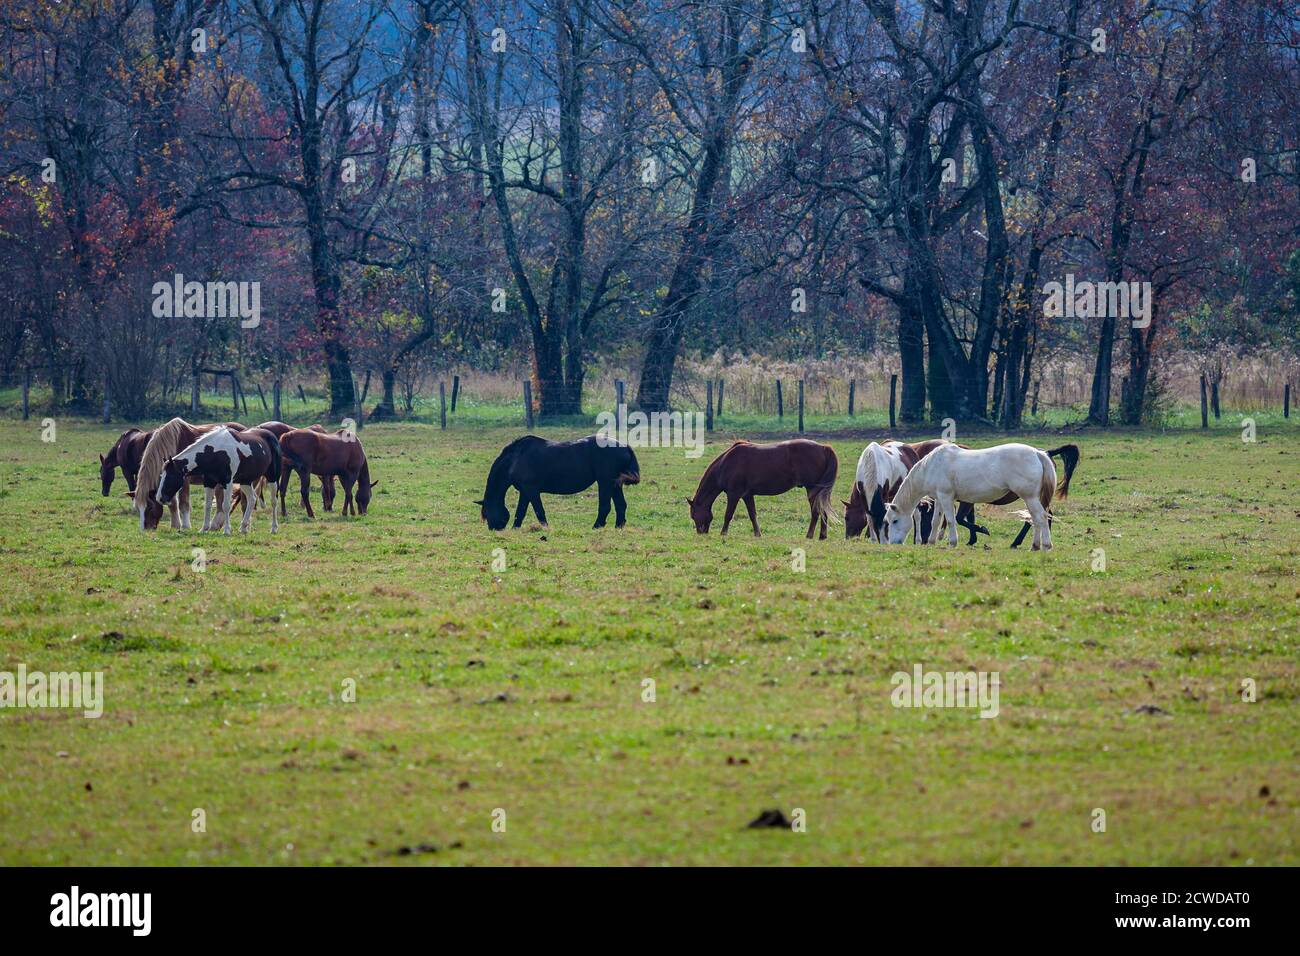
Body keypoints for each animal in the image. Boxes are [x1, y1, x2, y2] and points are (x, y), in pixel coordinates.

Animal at [478, 434, 639, 530]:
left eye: (487, 512)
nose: (494, 529)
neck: (515, 458)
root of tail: (624, 446)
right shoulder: (525, 492)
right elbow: (520, 512)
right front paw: (515, 528)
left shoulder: (531, 490)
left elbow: (539, 511)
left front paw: (546, 528)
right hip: (614, 484)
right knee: (621, 505)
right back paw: (618, 527)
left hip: (605, 483)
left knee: (605, 507)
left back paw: (596, 526)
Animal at [686, 439, 837, 538]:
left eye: (693, 515)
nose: (701, 533)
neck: (726, 463)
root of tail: (823, 448)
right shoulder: (747, 495)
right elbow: (753, 514)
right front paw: (758, 534)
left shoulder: (734, 494)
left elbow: (728, 514)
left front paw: (723, 533)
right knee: (822, 511)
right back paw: (822, 536)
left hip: (812, 489)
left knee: (816, 512)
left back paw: (809, 535)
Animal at [883, 442, 1076, 548]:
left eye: (895, 521)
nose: (894, 543)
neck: (933, 465)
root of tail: (1039, 453)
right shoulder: (939, 498)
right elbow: (936, 521)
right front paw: (931, 542)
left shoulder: (946, 497)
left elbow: (951, 520)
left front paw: (953, 542)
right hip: (1033, 499)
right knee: (1036, 519)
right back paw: (1034, 545)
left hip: (1030, 497)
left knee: (1040, 518)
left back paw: (1044, 545)